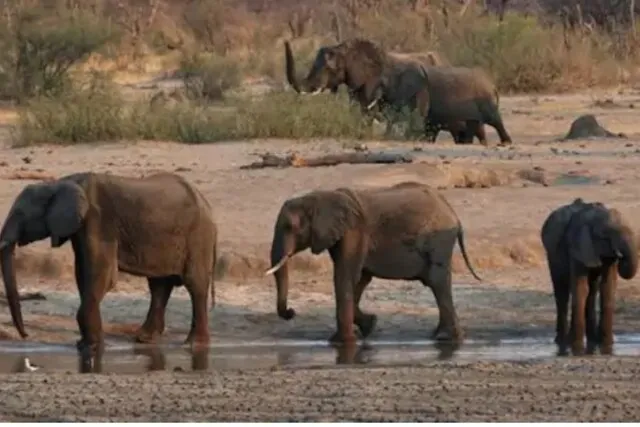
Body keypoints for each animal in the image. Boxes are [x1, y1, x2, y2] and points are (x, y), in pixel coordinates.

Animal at [0, 171, 218, 356]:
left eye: (20, 214)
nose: (25, 336)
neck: (60, 182)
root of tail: (206, 203)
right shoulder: (81, 227)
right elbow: (82, 273)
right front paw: (85, 345)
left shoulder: (98, 221)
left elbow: (102, 275)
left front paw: (91, 348)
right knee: (159, 285)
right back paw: (144, 339)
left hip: (198, 237)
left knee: (195, 285)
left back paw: (194, 345)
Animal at [264, 181, 482, 346]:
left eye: (289, 226)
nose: (291, 312)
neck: (320, 197)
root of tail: (454, 214)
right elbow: (359, 279)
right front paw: (370, 326)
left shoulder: (354, 232)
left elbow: (345, 276)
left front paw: (340, 342)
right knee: (436, 282)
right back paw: (440, 337)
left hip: (439, 240)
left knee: (437, 281)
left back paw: (445, 338)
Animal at [541, 198, 638, 356]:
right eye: (604, 235)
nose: (621, 257)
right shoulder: (578, 247)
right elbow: (580, 288)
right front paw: (577, 349)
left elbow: (607, 288)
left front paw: (607, 346)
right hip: (552, 254)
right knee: (562, 291)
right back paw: (562, 341)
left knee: (592, 291)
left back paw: (591, 340)